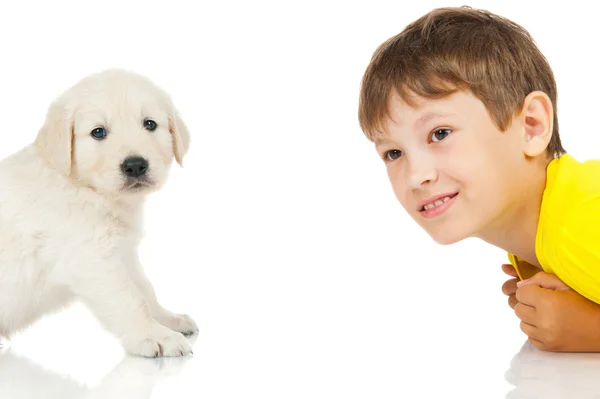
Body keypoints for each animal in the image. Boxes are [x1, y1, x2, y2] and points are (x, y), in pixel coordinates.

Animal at [0, 69, 197, 360]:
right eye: (98, 132)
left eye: (150, 124)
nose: (135, 165)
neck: (86, 188)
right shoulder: (91, 257)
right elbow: (130, 298)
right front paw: (155, 335)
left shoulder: (123, 253)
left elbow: (145, 289)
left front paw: (167, 319)